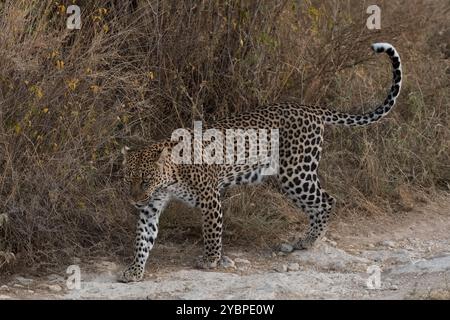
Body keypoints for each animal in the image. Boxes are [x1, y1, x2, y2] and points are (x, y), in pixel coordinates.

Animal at [118, 43, 402, 282]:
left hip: (297, 172)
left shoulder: (210, 199)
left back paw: (311, 240)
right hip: (291, 178)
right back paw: (305, 240)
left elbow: (211, 231)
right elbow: (143, 239)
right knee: (317, 204)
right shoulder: (150, 207)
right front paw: (134, 270)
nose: (132, 201)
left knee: (327, 200)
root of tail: (310, 108)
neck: (170, 180)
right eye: (128, 180)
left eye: (146, 180)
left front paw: (210, 260)